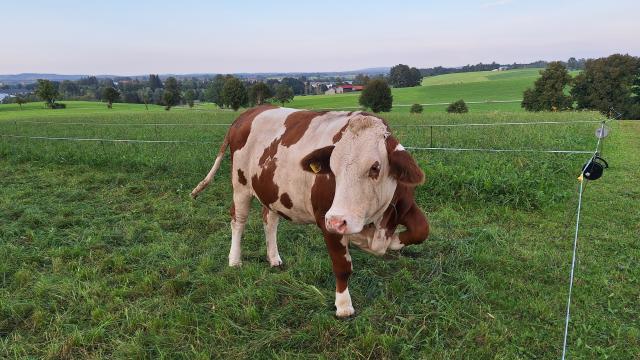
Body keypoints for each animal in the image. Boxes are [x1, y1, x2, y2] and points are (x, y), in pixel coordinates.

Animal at [190, 105, 430, 316]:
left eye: (375, 167)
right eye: (332, 168)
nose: (339, 221)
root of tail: (248, 113)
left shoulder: (404, 204)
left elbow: (421, 230)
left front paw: (384, 241)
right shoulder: (327, 218)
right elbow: (342, 265)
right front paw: (343, 306)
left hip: (272, 193)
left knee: (269, 220)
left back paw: (274, 258)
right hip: (240, 185)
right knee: (238, 221)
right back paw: (235, 260)